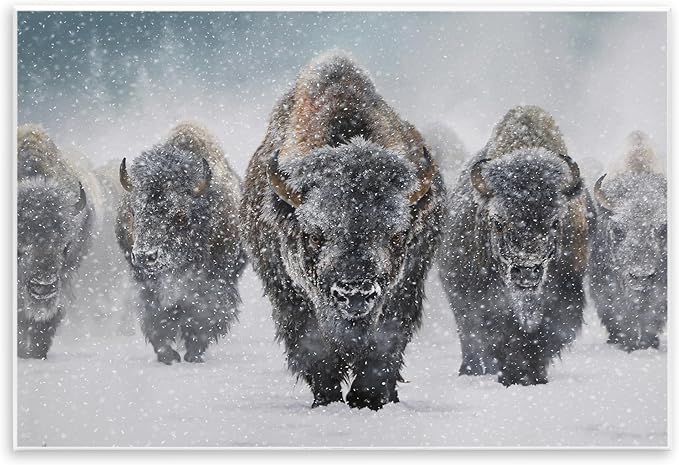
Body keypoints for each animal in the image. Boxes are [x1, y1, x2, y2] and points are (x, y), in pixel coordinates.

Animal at [116, 123, 246, 364]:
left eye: (179, 216)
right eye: (135, 211)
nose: (145, 256)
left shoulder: (216, 281)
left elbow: (205, 315)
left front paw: (193, 352)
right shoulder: (146, 284)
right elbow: (156, 317)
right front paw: (167, 355)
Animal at [240, 51, 445, 410]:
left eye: (396, 236)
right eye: (314, 235)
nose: (355, 293)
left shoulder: (404, 290)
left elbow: (382, 350)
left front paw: (367, 399)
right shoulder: (291, 298)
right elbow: (316, 353)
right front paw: (328, 399)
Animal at [439, 106, 589, 386]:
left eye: (555, 221)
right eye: (498, 222)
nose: (527, 271)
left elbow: (542, 337)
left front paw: (533, 376)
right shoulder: (483, 301)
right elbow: (501, 334)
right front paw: (512, 375)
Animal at [589, 130, 667, 351]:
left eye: (663, 229)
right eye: (618, 229)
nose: (641, 276)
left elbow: (652, 316)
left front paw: (648, 343)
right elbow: (620, 314)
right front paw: (626, 343)